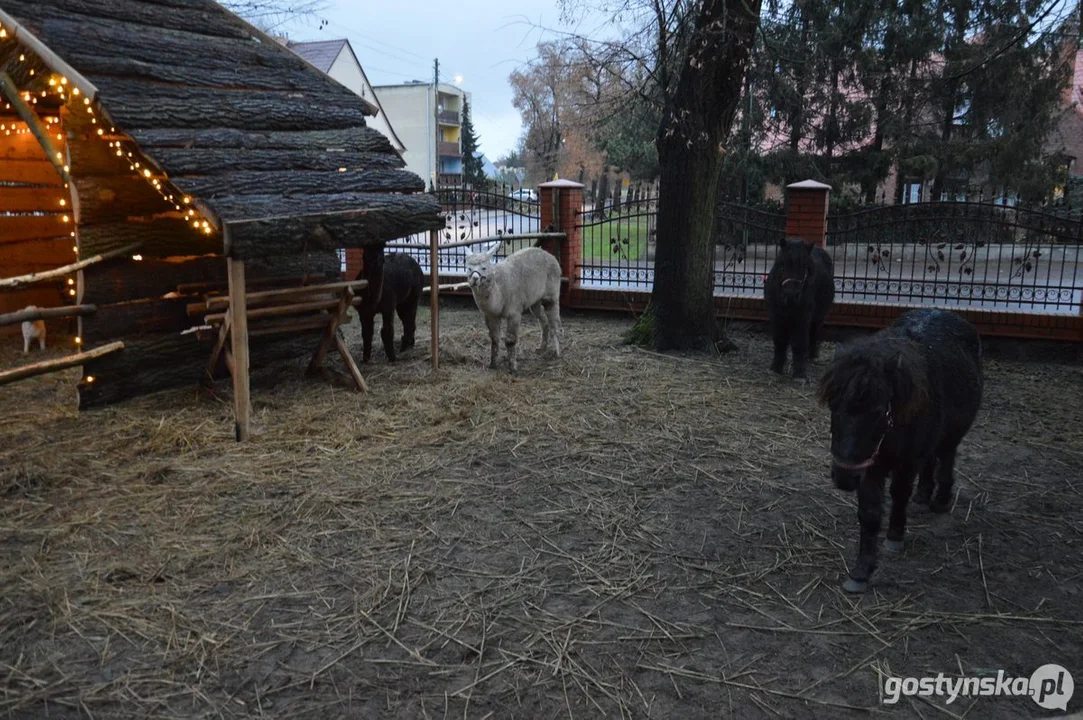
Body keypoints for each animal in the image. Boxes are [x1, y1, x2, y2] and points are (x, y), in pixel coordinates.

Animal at [762, 237, 836, 381]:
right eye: (782, 266)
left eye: (804, 268)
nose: (791, 295)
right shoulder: (776, 316)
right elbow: (779, 341)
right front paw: (775, 368)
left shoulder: (802, 318)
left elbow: (799, 343)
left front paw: (799, 374)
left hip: (818, 317)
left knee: (813, 333)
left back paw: (812, 356)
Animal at [818, 305, 983, 593]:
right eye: (833, 405)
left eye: (877, 411)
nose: (844, 477)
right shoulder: (870, 466)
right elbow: (869, 513)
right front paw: (861, 571)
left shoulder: (906, 460)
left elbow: (899, 494)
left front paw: (895, 536)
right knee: (930, 463)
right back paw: (924, 495)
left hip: (950, 436)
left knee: (946, 458)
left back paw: (940, 500)